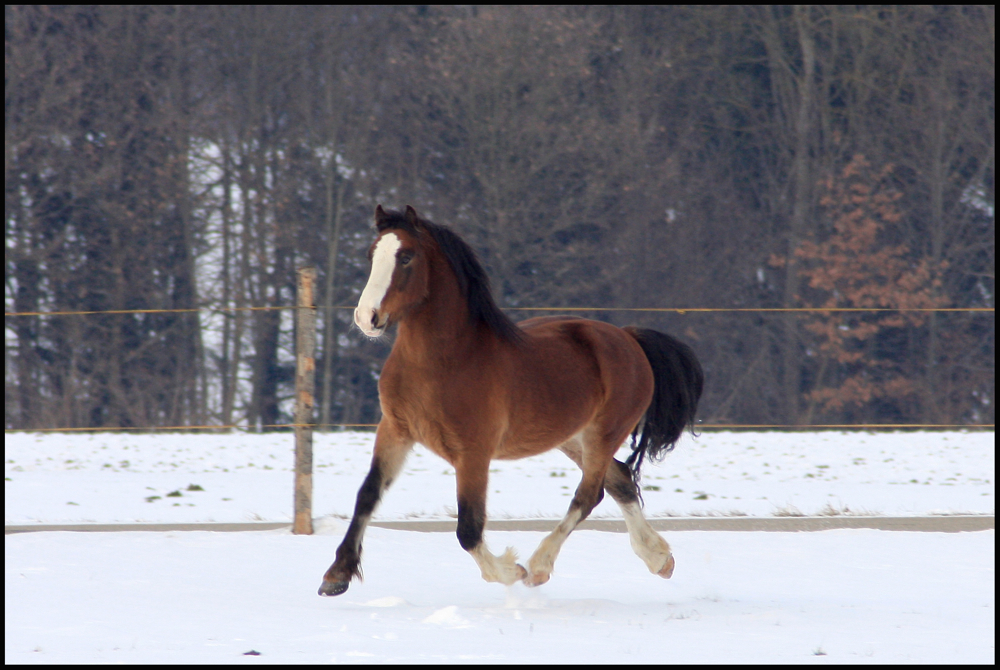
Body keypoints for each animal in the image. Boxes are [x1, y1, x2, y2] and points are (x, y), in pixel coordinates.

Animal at [320, 206, 704, 600]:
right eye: (372, 254)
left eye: (406, 257)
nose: (367, 318)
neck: (438, 363)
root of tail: (628, 338)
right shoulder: (395, 431)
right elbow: (367, 495)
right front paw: (336, 575)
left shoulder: (473, 452)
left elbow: (468, 528)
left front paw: (510, 571)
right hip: (572, 438)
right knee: (620, 481)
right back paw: (659, 558)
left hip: (603, 433)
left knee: (589, 494)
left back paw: (539, 567)